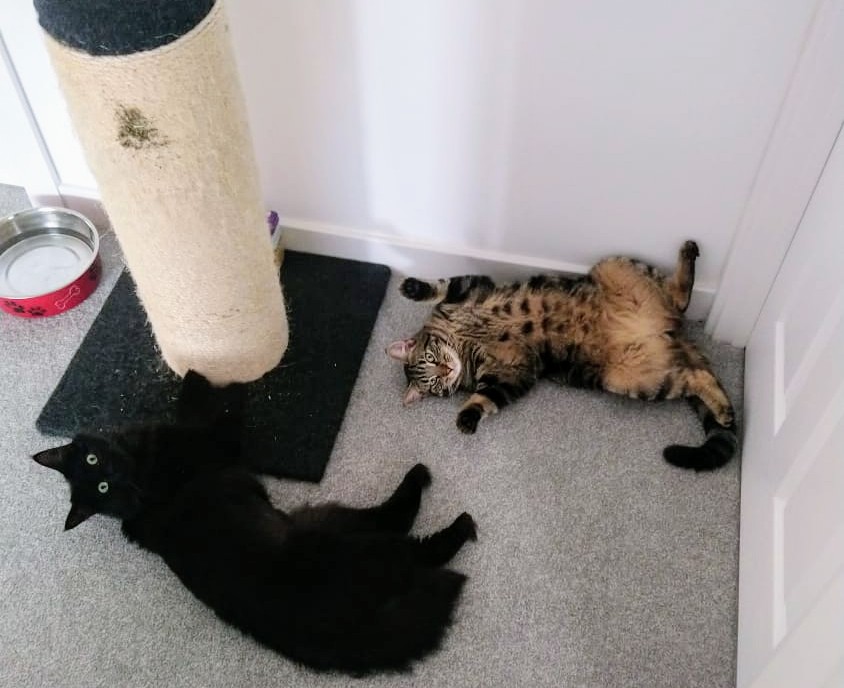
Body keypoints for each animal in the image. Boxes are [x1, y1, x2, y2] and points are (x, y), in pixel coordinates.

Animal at [33, 374, 478, 676]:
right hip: (343, 527)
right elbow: (218, 403)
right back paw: (446, 507)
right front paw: (211, 368)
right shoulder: (214, 439)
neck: (143, 474)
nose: (112, 473)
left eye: (94, 463)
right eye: (101, 484)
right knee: (412, 531)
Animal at [390, 239, 740, 470]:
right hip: (635, 376)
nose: (446, 371)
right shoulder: (510, 375)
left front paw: (412, 288)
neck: (463, 344)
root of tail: (670, 332)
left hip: (615, 267)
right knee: (695, 374)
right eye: (433, 384)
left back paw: (687, 253)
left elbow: (441, 285)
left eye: (430, 359)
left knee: (679, 298)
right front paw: (467, 415)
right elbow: (485, 398)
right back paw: (723, 409)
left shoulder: (471, 289)